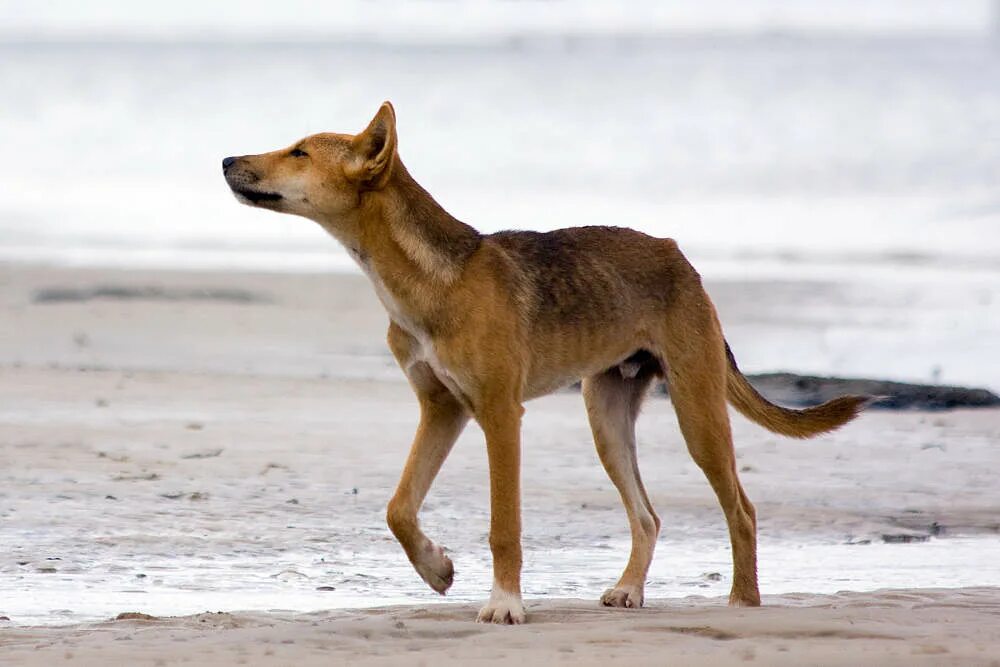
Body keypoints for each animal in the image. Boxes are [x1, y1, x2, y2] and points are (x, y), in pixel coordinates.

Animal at [223, 103, 864, 628]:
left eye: (300, 152)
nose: (227, 159)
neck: (432, 278)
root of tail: (679, 257)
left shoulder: (499, 415)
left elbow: (503, 526)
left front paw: (505, 604)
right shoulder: (442, 409)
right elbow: (398, 509)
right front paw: (437, 569)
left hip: (697, 412)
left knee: (742, 510)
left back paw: (741, 602)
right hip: (606, 417)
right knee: (648, 516)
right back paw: (630, 590)